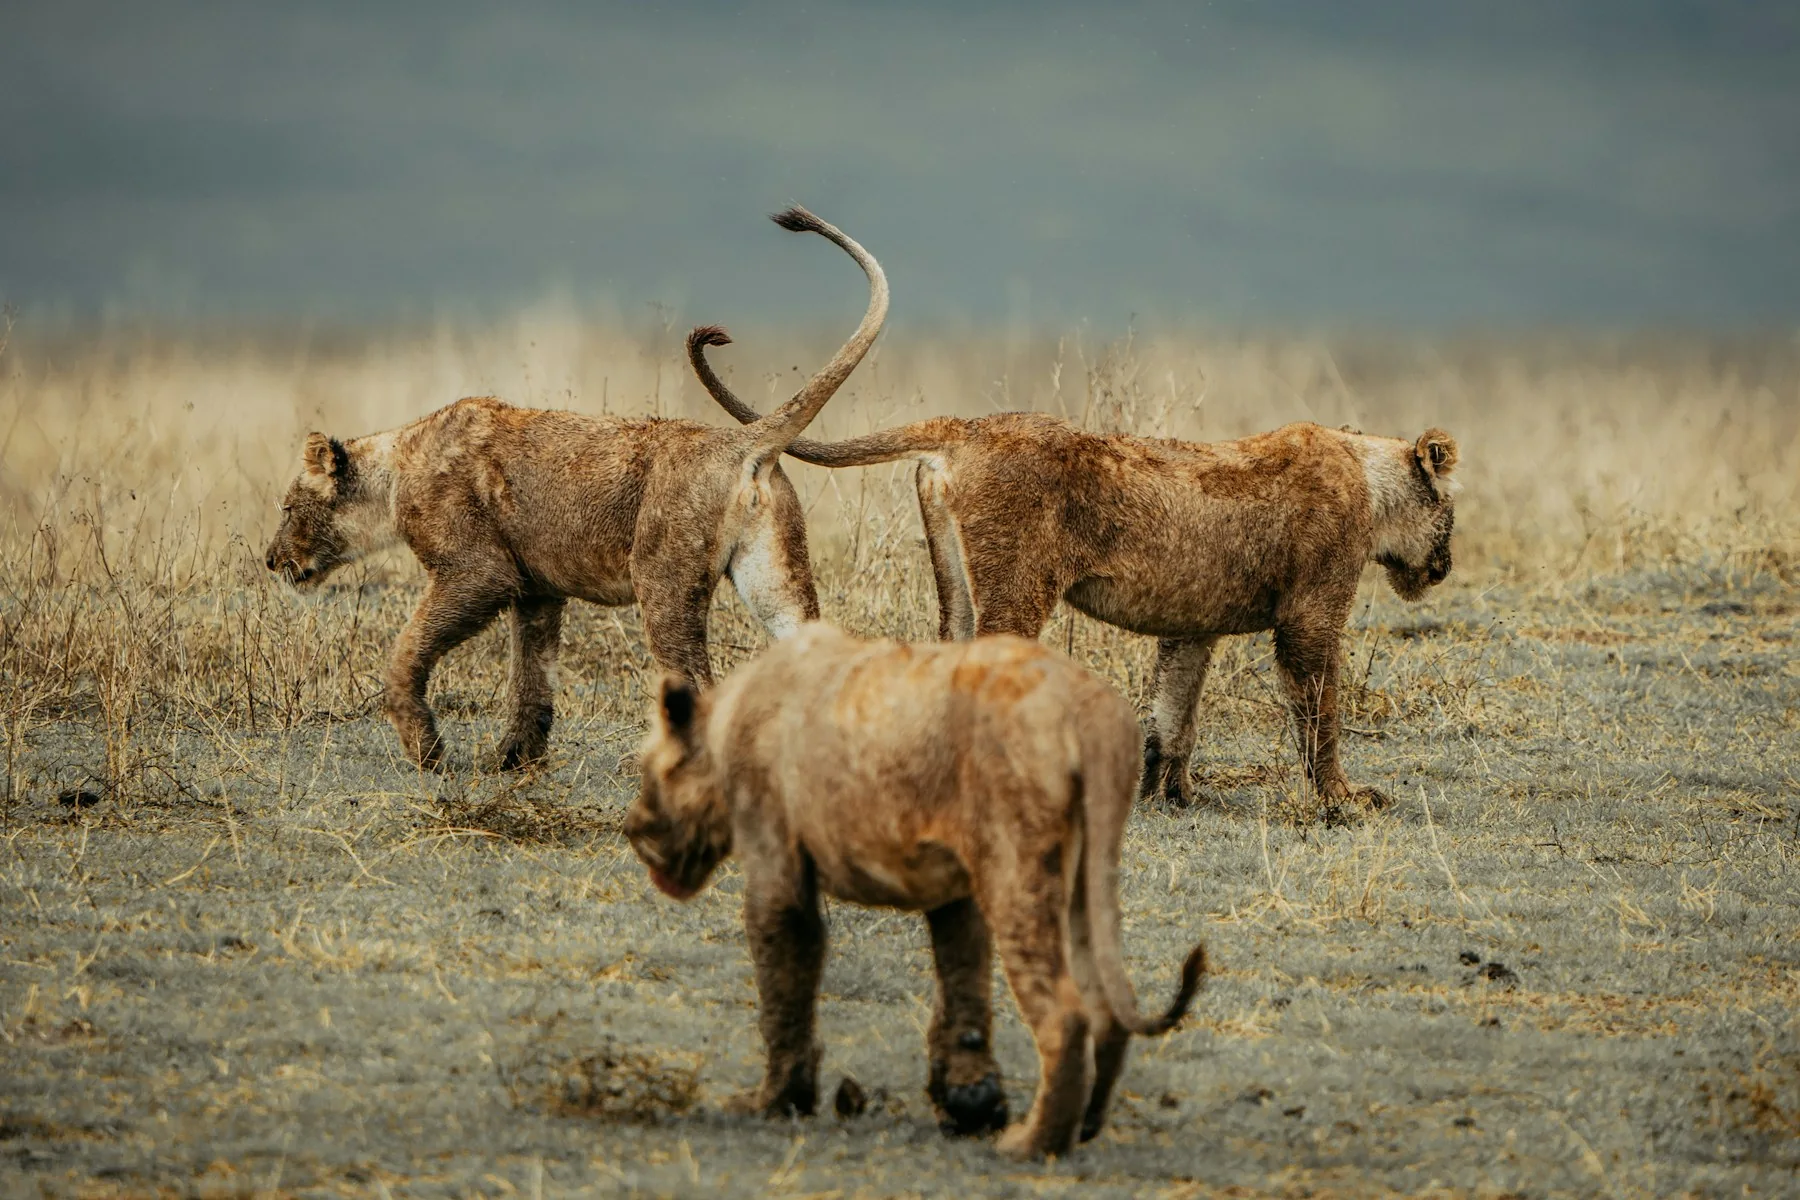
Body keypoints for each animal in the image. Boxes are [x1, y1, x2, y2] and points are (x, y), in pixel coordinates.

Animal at [261, 206, 886, 770]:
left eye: (288, 507)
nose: (270, 560)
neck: (395, 470)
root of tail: (743, 442)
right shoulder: (536, 588)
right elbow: (532, 676)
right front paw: (515, 760)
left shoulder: (477, 571)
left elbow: (406, 652)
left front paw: (428, 750)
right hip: (775, 578)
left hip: (663, 580)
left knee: (696, 680)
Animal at [625, 623, 1208, 1160]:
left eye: (648, 770)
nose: (632, 829)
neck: (727, 717)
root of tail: (1089, 710)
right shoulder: (957, 890)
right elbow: (963, 988)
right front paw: (969, 1101)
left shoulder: (776, 863)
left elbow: (784, 984)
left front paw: (776, 1101)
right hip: (1080, 877)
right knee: (1107, 1006)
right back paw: (1082, 1125)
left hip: (1016, 867)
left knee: (1066, 1015)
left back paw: (1033, 1144)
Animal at [688, 336, 1459, 808]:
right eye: (1450, 514)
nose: (1446, 568)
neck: (1369, 477)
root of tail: (965, 426)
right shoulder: (1310, 613)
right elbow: (1319, 710)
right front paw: (1342, 799)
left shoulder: (1193, 624)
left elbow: (1174, 712)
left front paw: (1170, 794)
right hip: (1017, 586)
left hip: (958, 588)